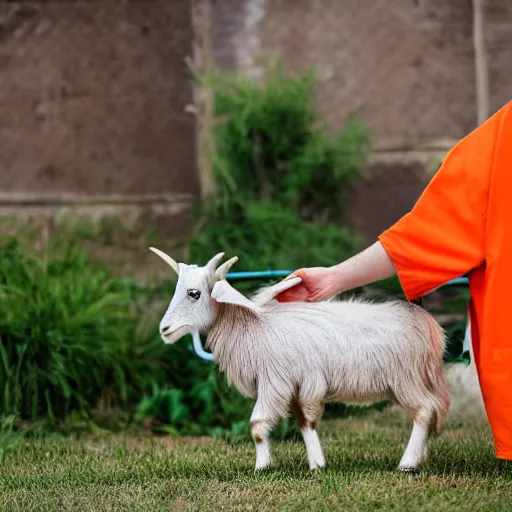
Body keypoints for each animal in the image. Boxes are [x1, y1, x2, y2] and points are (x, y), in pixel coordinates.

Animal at [150, 250, 450, 474]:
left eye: (194, 293)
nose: (164, 330)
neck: (254, 327)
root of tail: (426, 323)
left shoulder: (275, 382)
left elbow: (257, 425)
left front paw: (262, 467)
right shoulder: (298, 386)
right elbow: (306, 422)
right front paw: (317, 464)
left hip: (406, 379)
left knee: (424, 411)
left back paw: (408, 463)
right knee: (431, 410)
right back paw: (420, 457)